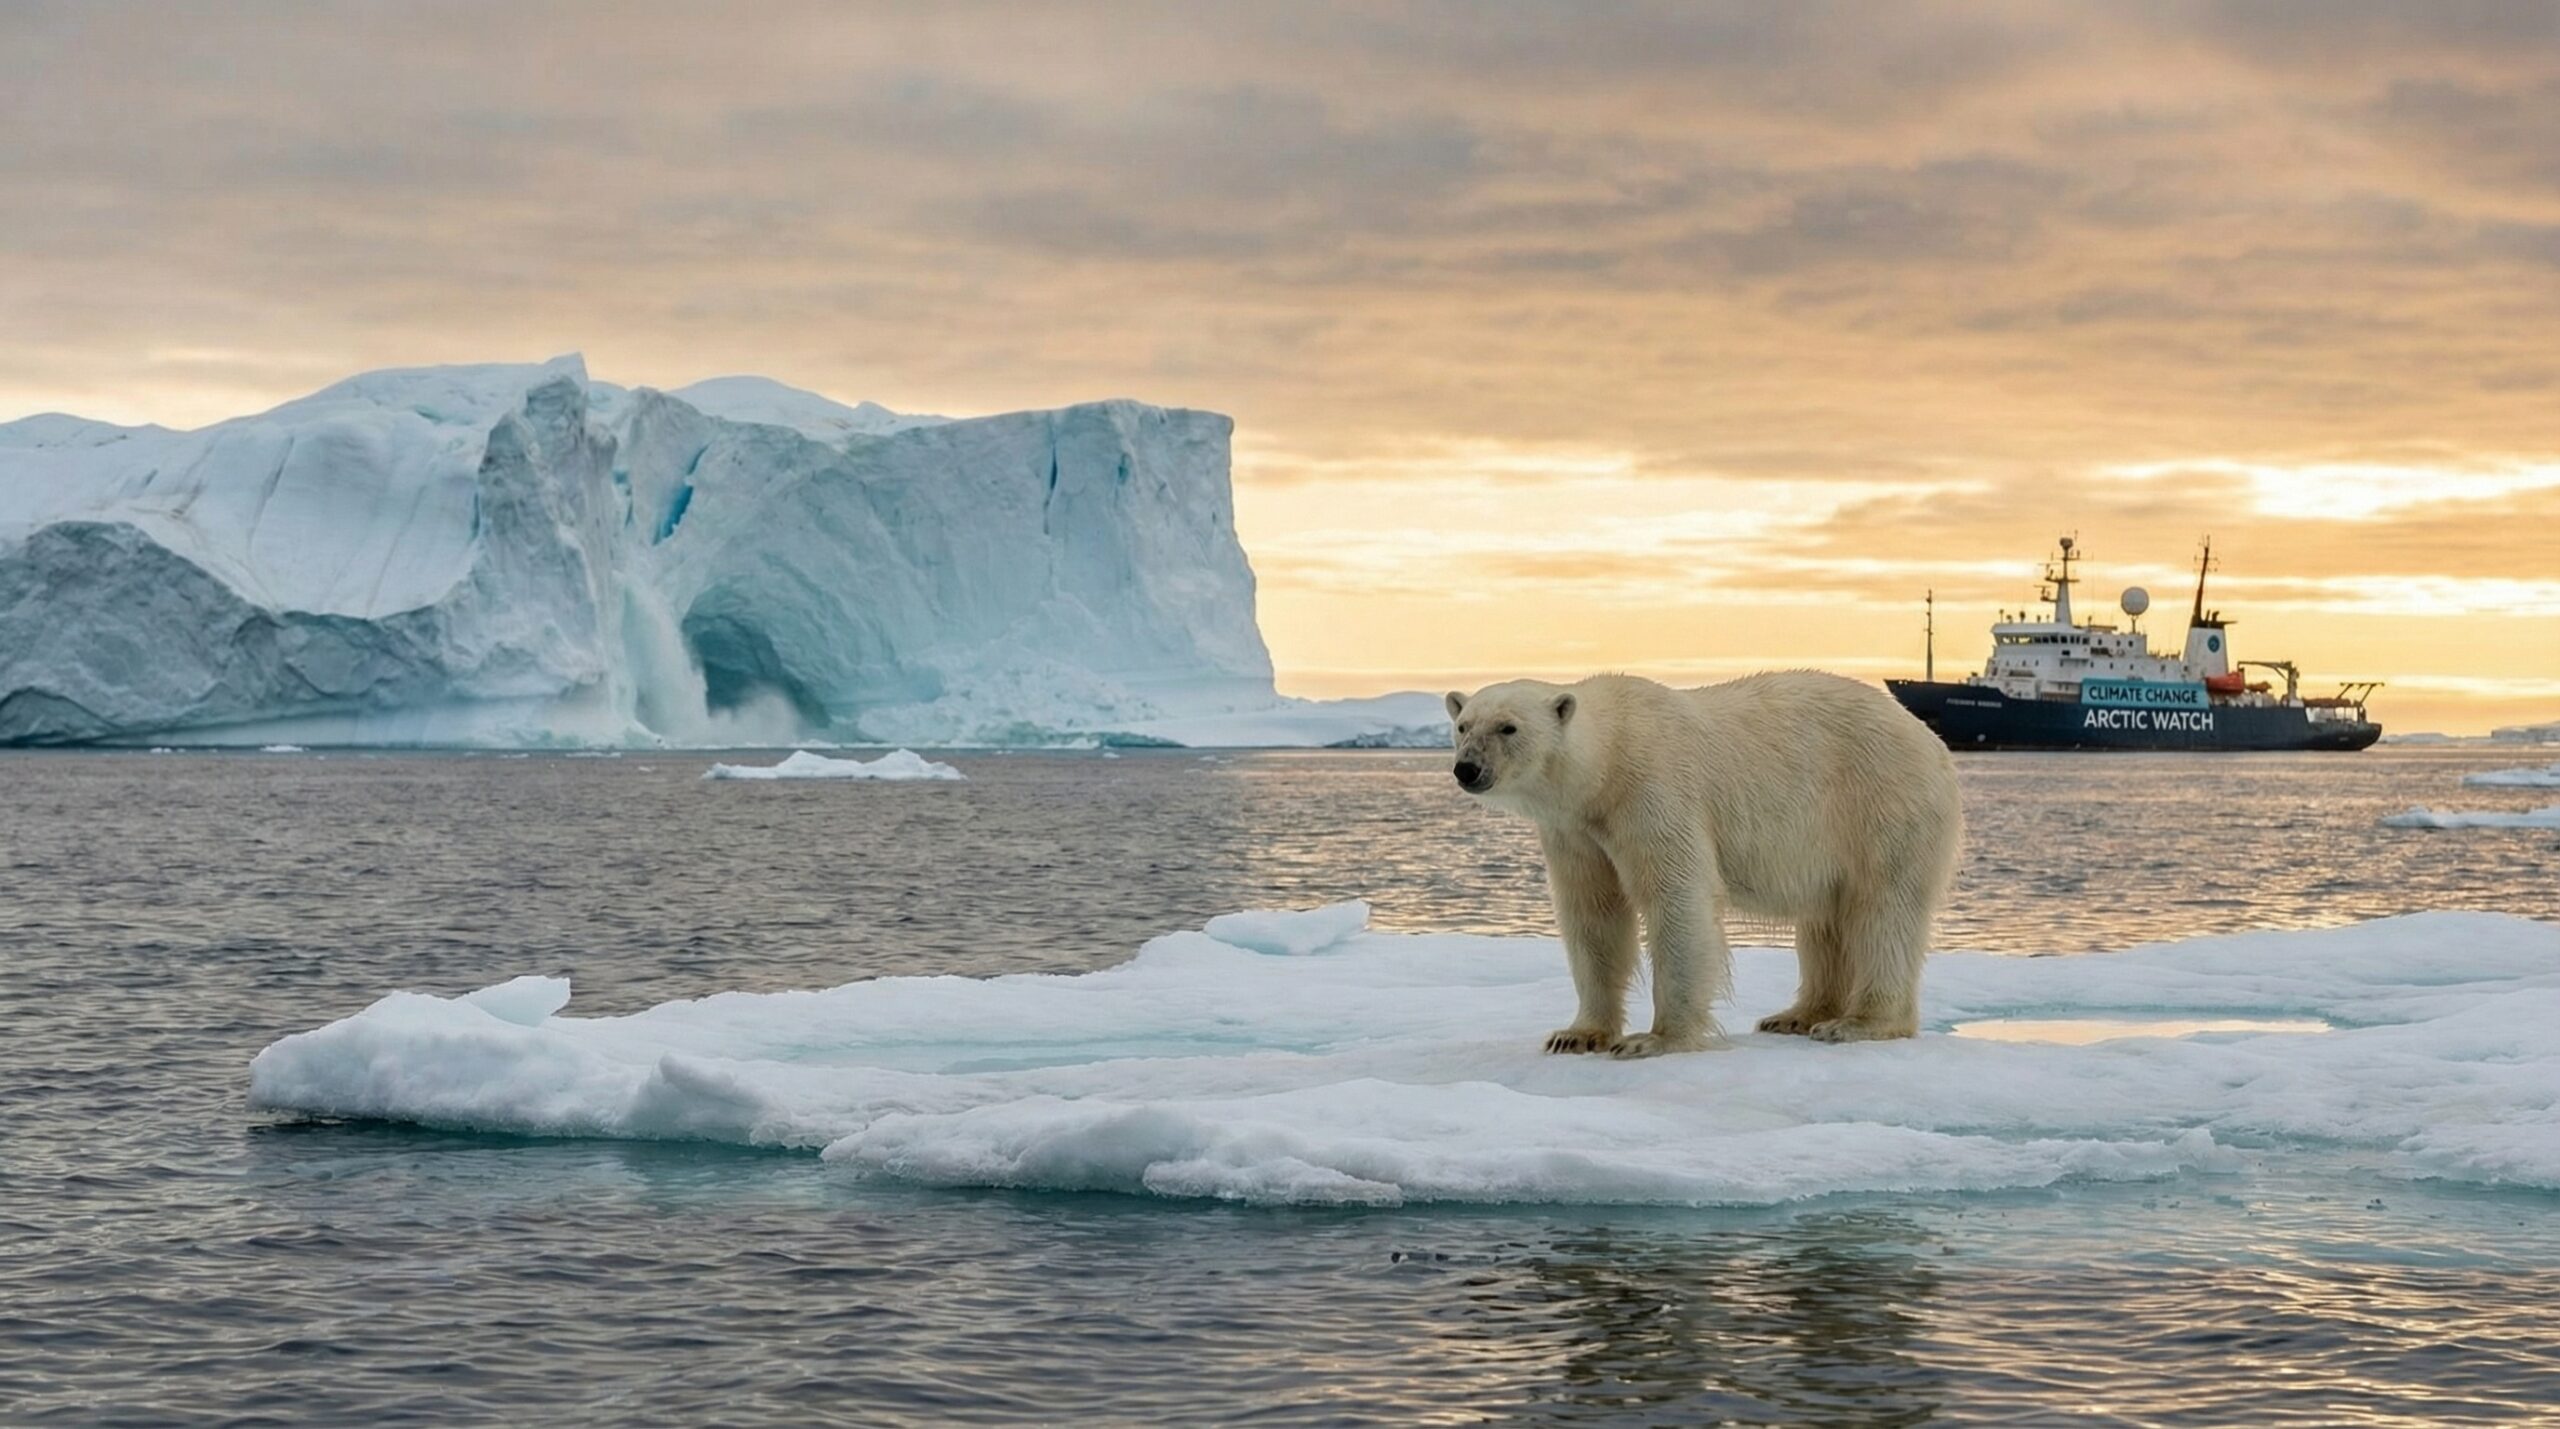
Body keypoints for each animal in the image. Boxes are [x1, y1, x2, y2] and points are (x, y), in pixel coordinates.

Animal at [1446, 670, 1962, 1057]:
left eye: (1508, 727)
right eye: (1464, 725)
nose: (1467, 768)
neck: (1607, 762)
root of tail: (1933, 742)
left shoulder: (1652, 792)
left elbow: (1677, 898)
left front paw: (1654, 1039)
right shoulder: (1575, 831)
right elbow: (1593, 915)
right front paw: (1577, 1034)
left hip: (1881, 803)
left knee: (1883, 911)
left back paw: (1857, 1023)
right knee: (1825, 921)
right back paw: (1796, 1016)